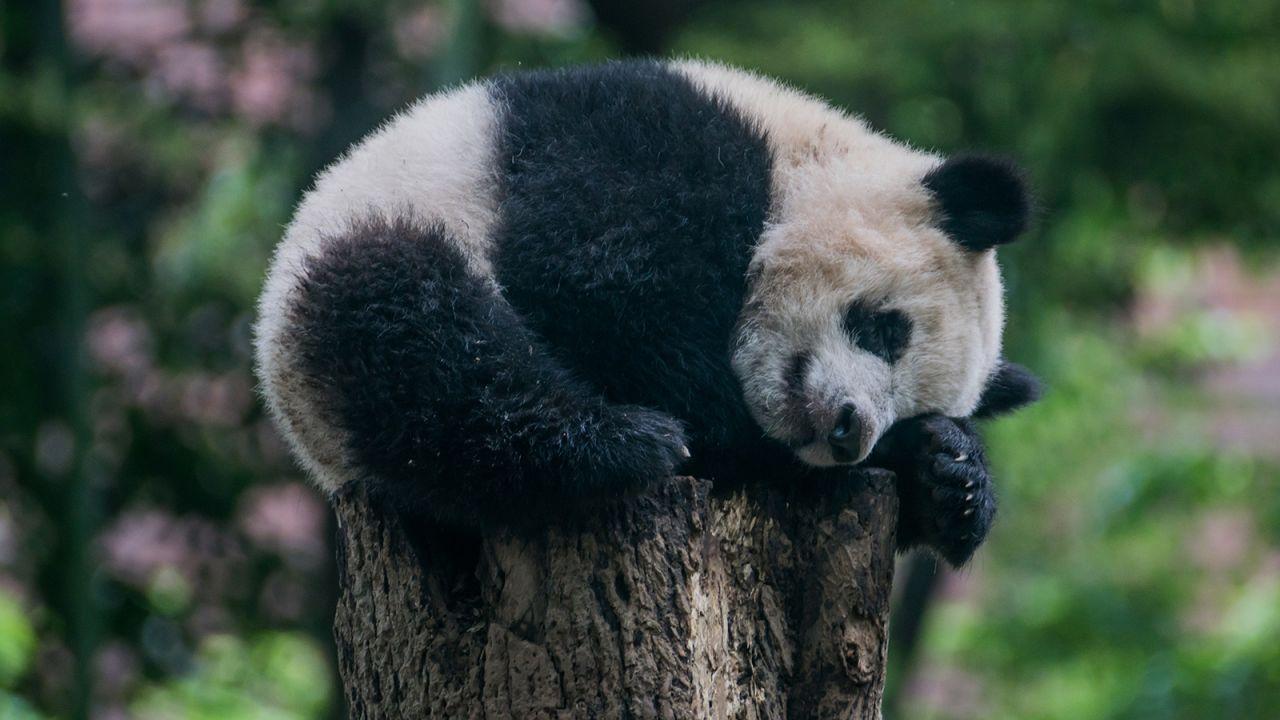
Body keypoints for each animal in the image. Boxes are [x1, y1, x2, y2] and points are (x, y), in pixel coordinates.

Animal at [255, 59, 1041, 566]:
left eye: (911, 400)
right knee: (420, 335)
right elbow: (596, 278)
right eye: (887, 329)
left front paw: (948, 474)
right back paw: (615, 443)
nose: (851, 431)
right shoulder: (657, 145)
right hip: (368, 253)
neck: (799, 161)